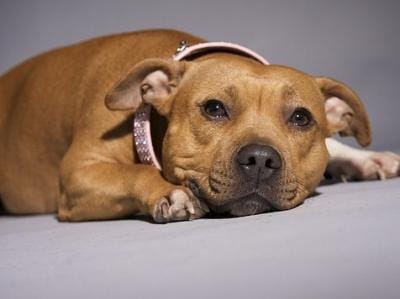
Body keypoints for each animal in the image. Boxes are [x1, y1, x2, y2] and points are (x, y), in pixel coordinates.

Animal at [0, 29, 398, 223]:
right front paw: (169, 191)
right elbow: (132, 172)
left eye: (301, 117)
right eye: (214, 108)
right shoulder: (78, 174)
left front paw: (367, 158)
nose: (260, 159)